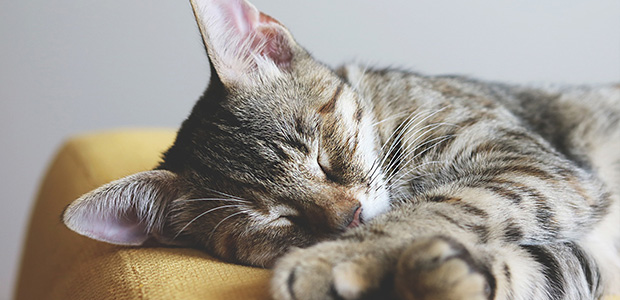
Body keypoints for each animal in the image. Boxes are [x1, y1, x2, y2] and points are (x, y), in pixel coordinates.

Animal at [63, 0, 620, 298]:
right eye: (277, 219)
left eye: (321, 155)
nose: (349, 218)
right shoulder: (587, 251)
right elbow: (543, 267)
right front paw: (446, 274)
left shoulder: (536, 167)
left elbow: (439, 206)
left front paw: (334, 261)